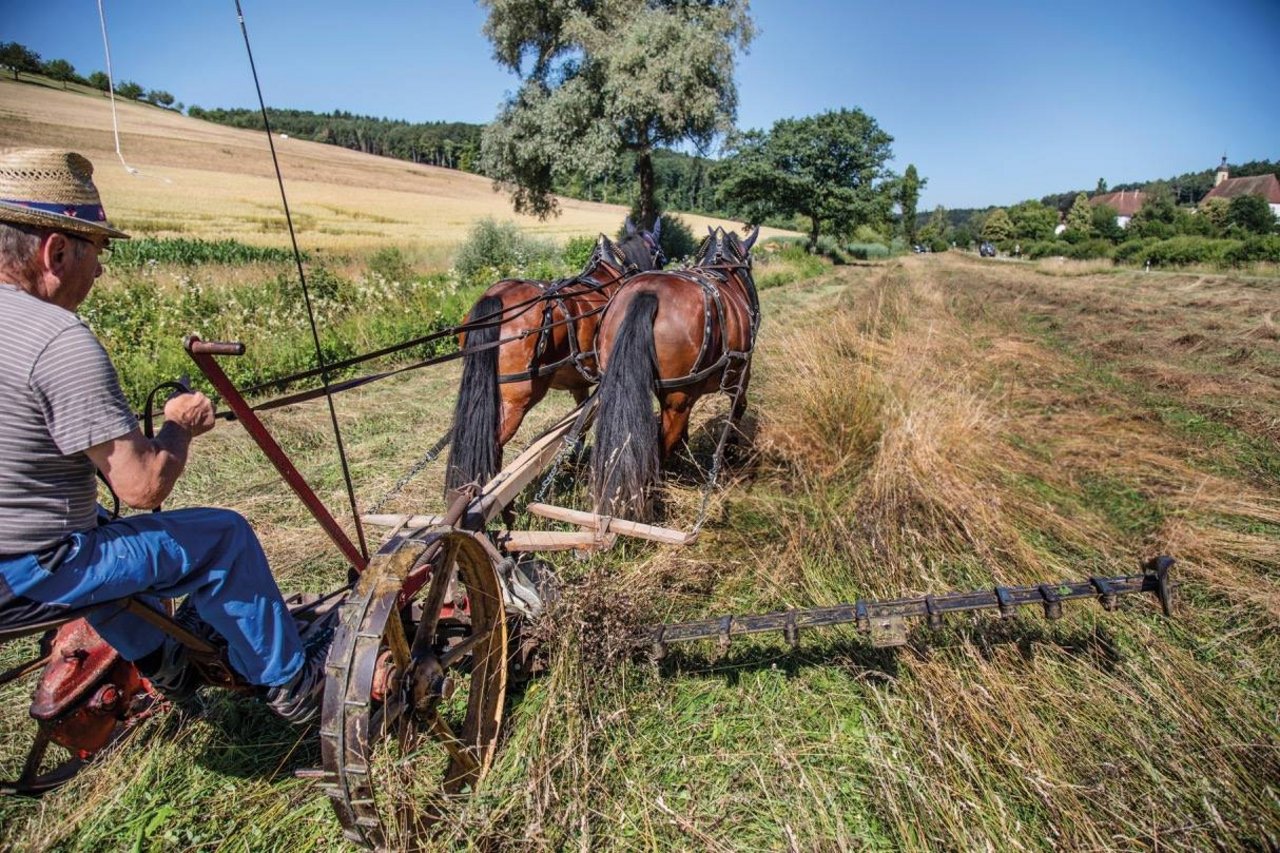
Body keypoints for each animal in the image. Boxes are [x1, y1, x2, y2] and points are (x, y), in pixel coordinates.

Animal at [445, 220, 665, 499]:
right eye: (659, 253)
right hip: (517, 399)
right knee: (492, 444)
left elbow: (581, 423)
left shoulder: (579, 383)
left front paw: (574, 458)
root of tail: (495, 298)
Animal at [591, 225, 757, 517]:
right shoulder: (740, 373)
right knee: (662, 444)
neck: (723, 267)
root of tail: (648, 294)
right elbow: (737, 410)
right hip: (678, 398)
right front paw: (729, 452)